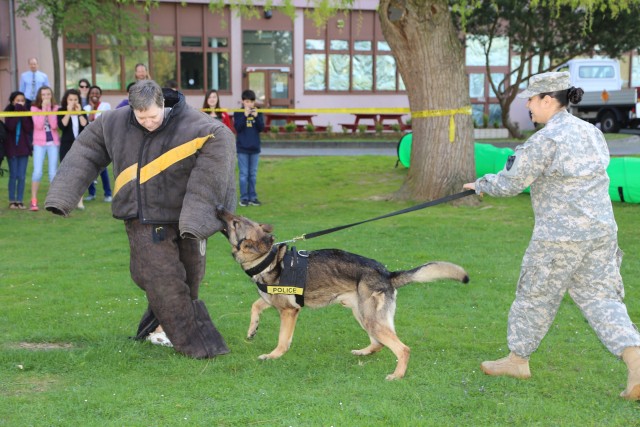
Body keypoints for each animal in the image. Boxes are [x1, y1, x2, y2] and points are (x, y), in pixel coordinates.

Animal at [218, 207, 468, 382]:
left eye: (235, 222)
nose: (219, 208)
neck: (268, 259)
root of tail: (387, 273)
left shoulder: (289, 311)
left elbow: (282, 340)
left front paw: (273, 356)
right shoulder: (272, 301)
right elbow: (255, 306)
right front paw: (252, 330)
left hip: (370, 318)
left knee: (402, 348)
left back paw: (397, 375)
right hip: (362, 315)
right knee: (378, 343)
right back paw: (363, 352)